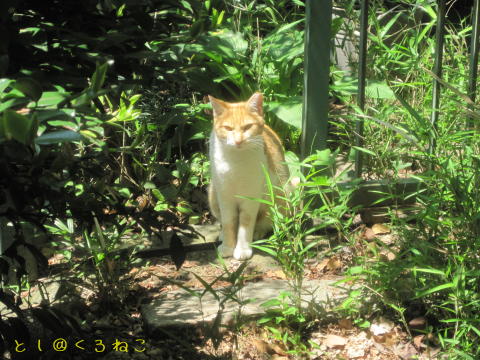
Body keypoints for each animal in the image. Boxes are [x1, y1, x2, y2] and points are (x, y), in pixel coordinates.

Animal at [207, 93, 288, 260]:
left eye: (247, 127)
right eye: (228, 128)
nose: (238, 140)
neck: (235, 161)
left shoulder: (251, 198)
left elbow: (245, 224)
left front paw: (243, 249)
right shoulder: (224, 196)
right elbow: (229, 222)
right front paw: (227, 247)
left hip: (283, 192)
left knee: (267, 222)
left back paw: (258, 233)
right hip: (212, 193)